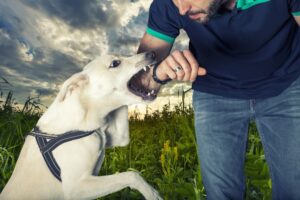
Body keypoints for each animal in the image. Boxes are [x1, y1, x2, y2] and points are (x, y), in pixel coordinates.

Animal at [0, 52, 163, 200]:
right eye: (115, 63)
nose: (152, 53)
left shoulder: (117, 138)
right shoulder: (77, 187)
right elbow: (131, 174)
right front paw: (152, 193)